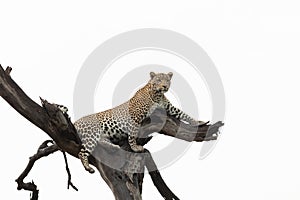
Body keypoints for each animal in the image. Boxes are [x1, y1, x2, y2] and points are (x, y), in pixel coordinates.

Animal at [74, 72, 202, 173]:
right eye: (158, 80)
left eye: (167, 80)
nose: (164, 86)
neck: (158, 95)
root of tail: (76, 122)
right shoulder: (135, 117)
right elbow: (132, 134)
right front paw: (135, 147)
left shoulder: (170, 108)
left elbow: (183, 114)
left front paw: (198, 122)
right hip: (91, 135)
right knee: (82, 153)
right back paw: (88, 167)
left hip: (100, 136)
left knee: (101, 142)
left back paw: (114, 147)